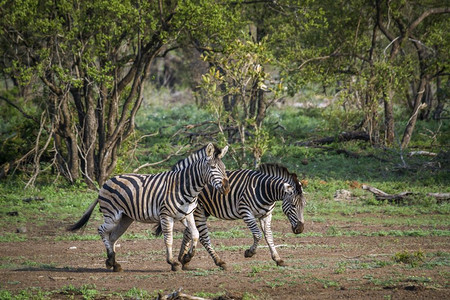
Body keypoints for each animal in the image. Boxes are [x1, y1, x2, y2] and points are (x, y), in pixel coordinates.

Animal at [67, 143, 230, 272]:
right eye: (213, 167)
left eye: (224, 168)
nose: (227, 188)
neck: (185, 187)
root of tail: (106, 182)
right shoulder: (166, 215)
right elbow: (169, 239)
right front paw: (173, 263)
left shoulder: (187, 215)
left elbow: (195, 234)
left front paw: (188, 256)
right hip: (112, 215)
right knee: (102, 230)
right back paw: (112, 260)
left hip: (125, 218)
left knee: (112, 236)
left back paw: (113, 263)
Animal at [176, 164, 306, 270]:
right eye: (293, 205)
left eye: (304, 205)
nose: (300, 229)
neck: (265, 190)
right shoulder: (246, 212)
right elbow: (258, 235)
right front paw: (249, 252)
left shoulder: (266, 215)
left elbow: (269, 236)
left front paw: (278, 259)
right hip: (199, 211)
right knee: (203, 237)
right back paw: (219, 262)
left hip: (201, 211)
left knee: (188, 232)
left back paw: (184, 259)